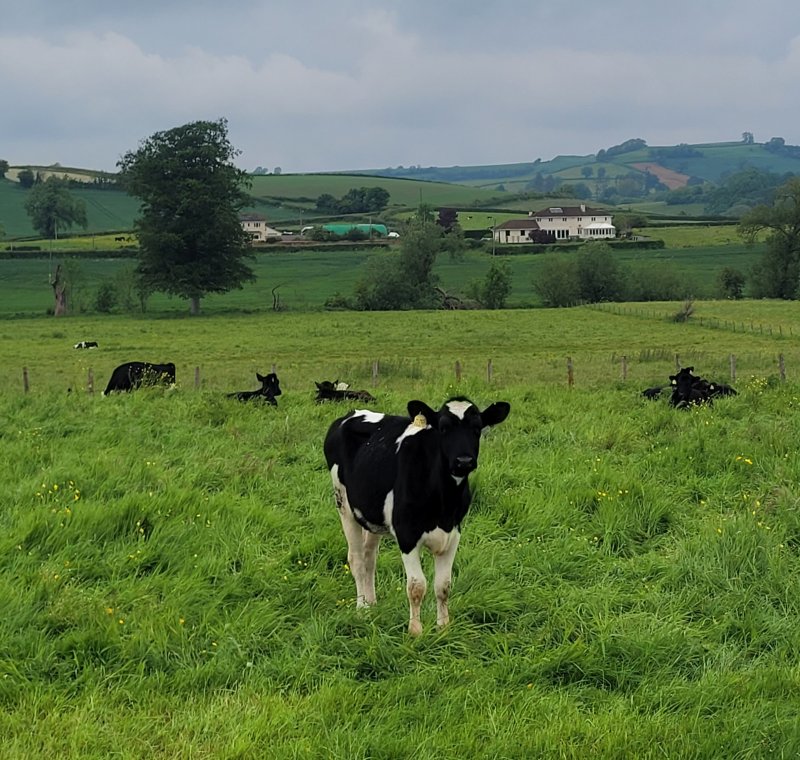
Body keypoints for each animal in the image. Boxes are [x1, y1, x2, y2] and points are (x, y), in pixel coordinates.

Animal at [324, 396, 511, 636]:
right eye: (443, 428)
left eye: (477, 428)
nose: (463, 461)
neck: (443, 503)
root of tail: (350, 414)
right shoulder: (407, 535)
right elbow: (416, 586)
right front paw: (416, 631)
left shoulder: (453, 533)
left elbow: (443, 585)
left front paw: (443, 627)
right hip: (344, 505)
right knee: (356, 559)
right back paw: (362, 608)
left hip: (371, 514)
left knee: (369, 557)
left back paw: (372, 603)